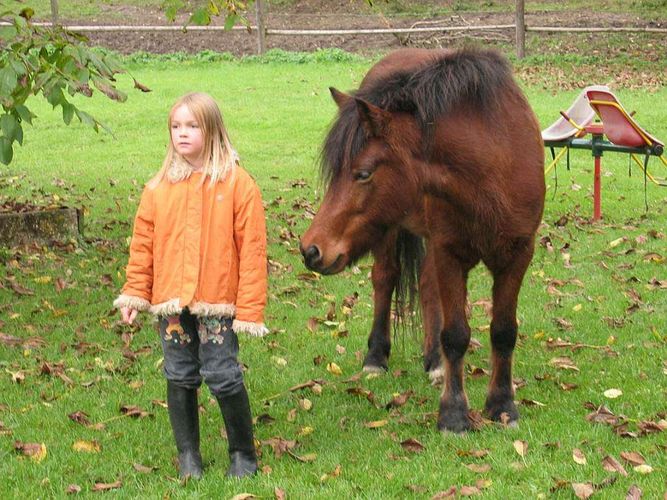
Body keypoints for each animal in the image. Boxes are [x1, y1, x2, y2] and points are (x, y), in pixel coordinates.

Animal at [300, 47, 544, 432]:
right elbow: (456, 334)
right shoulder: (449, 252)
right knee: (385, 279)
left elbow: (503, 331)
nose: (311, 249)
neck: (491, 171)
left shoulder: (517, 254)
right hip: (390, 232)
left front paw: (503, 406)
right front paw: (454, 414)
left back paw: (434, 361)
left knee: (428, 287)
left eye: (363, 174)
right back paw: (376, 356)